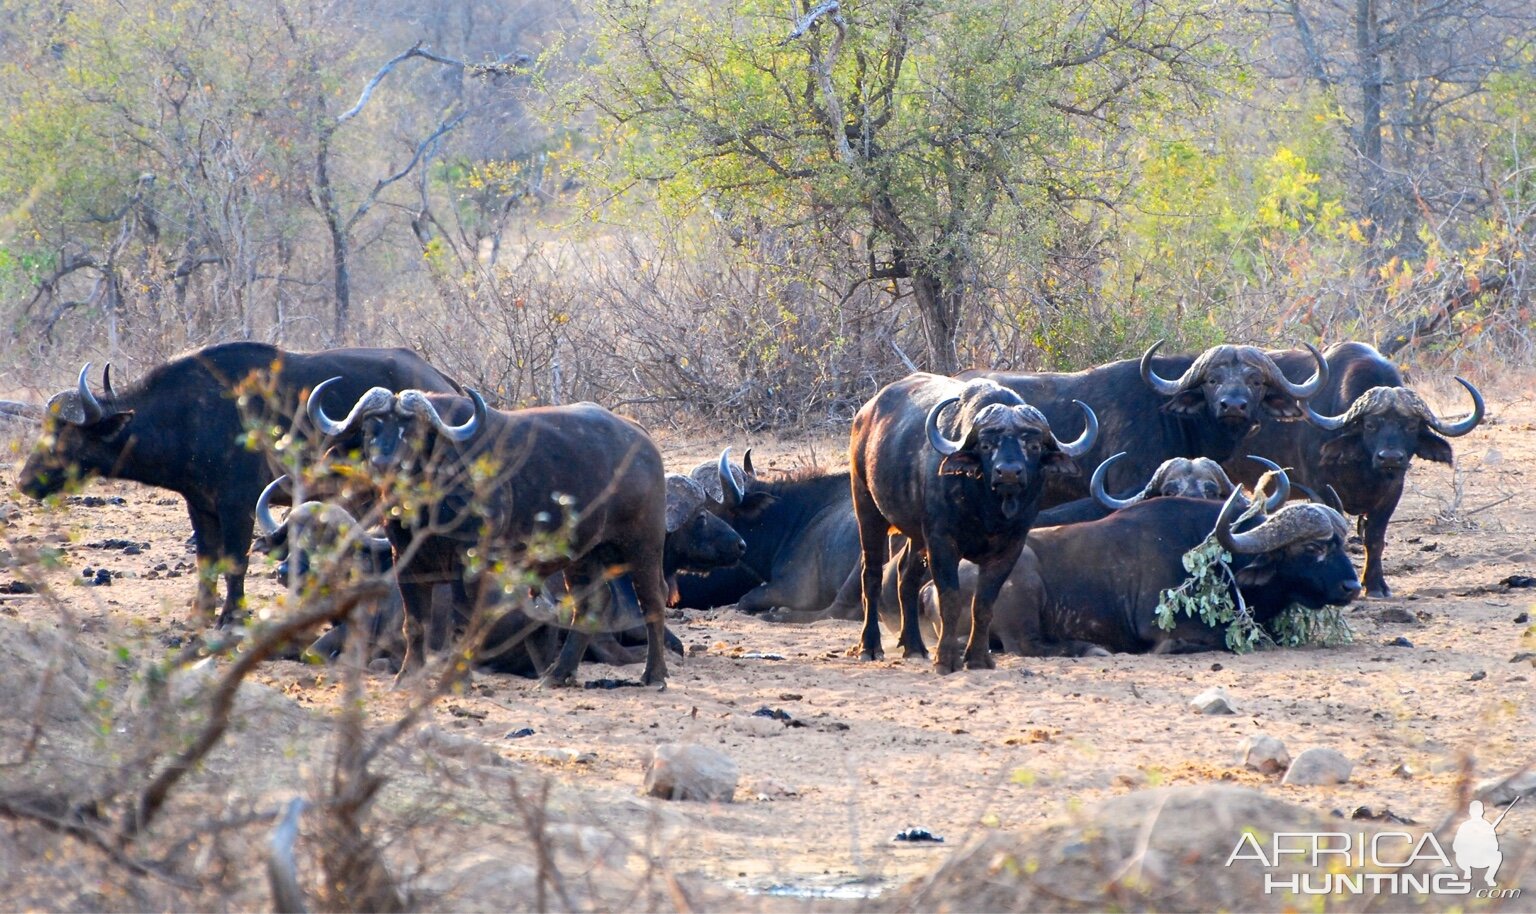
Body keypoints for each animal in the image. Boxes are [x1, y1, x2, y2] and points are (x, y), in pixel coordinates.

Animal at [16, 345, 460, 629]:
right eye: (45, 429)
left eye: (65, 437)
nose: (24, 481)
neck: (188, 415)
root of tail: (442, 380)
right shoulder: (200, 506)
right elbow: (207, 560)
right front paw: (199, 614)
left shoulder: (239, 505)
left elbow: (234, 560)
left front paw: (231, 616)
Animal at [307, 382, 672, 691]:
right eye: (371, 430)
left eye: (412, 432)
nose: (385, 463)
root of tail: (642, 440)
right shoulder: (405, 560)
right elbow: (415, 624)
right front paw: (406, 677)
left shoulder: (469, 562)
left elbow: (461, 625)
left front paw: (458, 681)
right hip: (583, 555)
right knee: (590, 604)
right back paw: (557, 674)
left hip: (644, 545)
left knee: (653, 600)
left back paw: (654, 674)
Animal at [847, 374, 1099, 675]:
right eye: (986, 445)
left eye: (1034, 446)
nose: (1009, 472)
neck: (987, 509)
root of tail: (865, 413)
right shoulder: (942, 542)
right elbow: (950, 600)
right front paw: (946, 660)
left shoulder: (1010, 548)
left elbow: (984, 604)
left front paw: (978, 658)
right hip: (867, 507)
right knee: (871, 575)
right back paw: (870, 646)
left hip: (917, 536)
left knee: (905, 576)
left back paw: (915, 646)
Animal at [1222, 344, 1486, 602]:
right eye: (1370, 425)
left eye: (1411, 426)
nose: (1390, 458)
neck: (1363, 469)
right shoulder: (1321, 489)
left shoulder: (1393, 492)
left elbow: (1375, 538)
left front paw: (1376, 585)